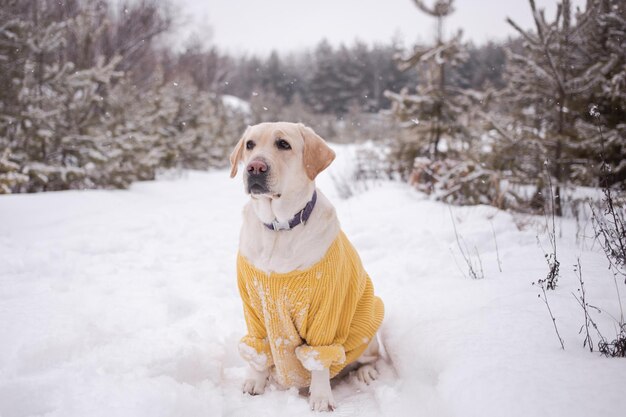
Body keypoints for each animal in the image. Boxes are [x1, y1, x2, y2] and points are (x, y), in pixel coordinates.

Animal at [230, 120, 382, 410]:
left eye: (283, 144)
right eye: (250, 145)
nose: (255, 167)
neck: (279, 228)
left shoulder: (327, 308)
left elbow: (319, 360)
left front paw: (321, 398)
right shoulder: (254, 306)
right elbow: (258, 350)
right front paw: (255, 382)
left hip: (368, 325)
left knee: (369, 358)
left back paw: (366, 373)